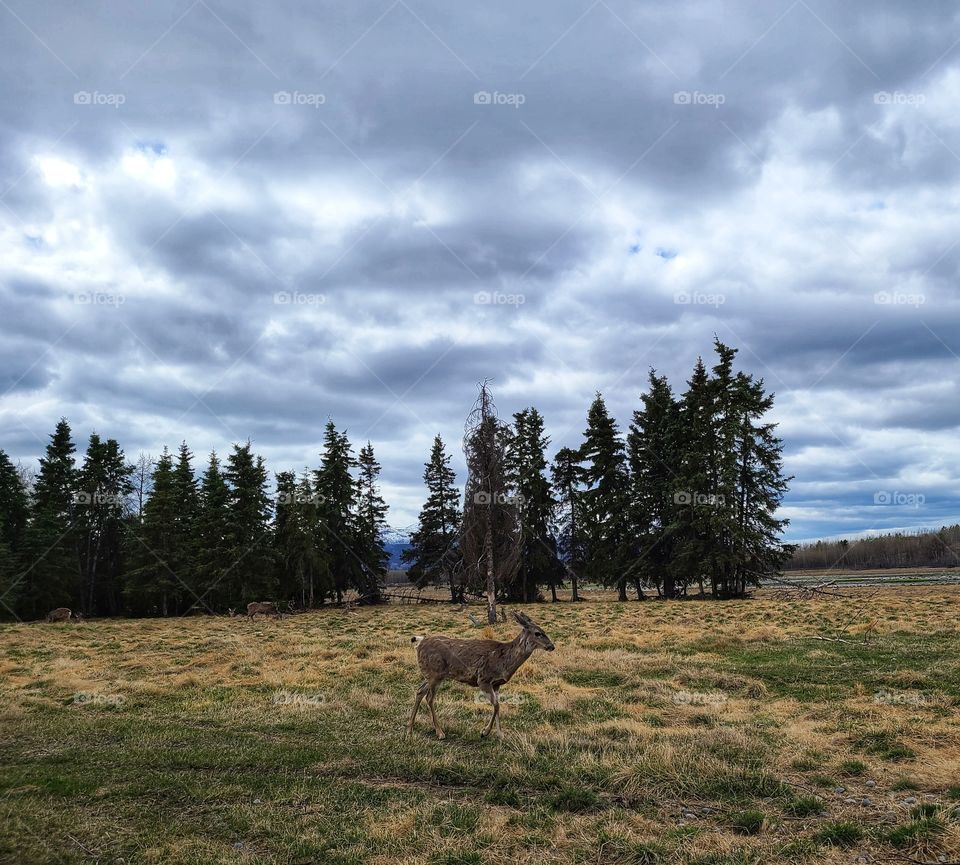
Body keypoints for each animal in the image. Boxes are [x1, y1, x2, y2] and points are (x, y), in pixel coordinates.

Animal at [407, 610, 555, 740]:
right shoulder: (483, 679)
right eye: (538, 633)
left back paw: (410, 728)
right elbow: (496, 706)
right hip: (435, 673)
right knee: (429, 698)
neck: (504, 661)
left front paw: (500, 735)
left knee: (420, 691)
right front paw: (485, 732)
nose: (552, 646)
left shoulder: (497, 684)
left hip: (432, 674)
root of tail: (420, 643)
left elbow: (498, 706)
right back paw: (440, 732)